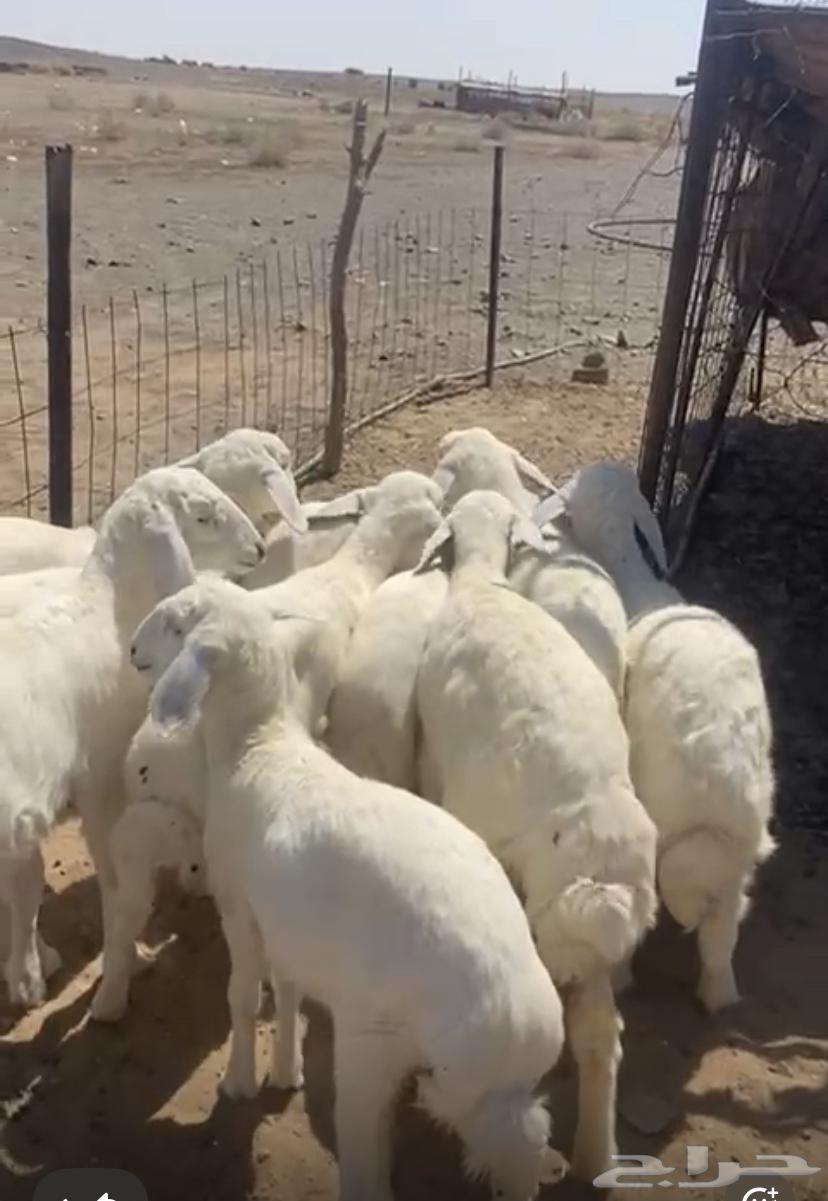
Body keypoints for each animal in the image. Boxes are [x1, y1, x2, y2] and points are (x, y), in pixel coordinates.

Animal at [0, 466, 264, 1007]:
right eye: (202, 515)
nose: (260, 547)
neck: (110, 608)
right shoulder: (101, 772)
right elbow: (107, 868)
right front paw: (124, 955)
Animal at [118, 578, 567, 1201]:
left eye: (180, 625)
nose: (134, 651)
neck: (259, 747)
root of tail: (519, 1022)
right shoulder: (287, 925)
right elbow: (285, 990)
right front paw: (285, 1071)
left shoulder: (239, 905)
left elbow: (242, 996)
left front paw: (239, 1082)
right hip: (492, 1096)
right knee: (522, 1142)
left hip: (372, 1046)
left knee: (369, 1163)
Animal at [416, 490, 658, 1181]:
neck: (482, 585)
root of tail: (600, 884)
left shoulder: (434, 755)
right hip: (590, 940)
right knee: (602, 1038)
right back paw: (597, 1156)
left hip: (534, 909)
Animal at [535, 462, 776, 1013]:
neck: (643, 587)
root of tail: (725, 795)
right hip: (735, 863)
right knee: (721, 938)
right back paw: (720, 996)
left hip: (664, 829)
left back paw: (625, 977)